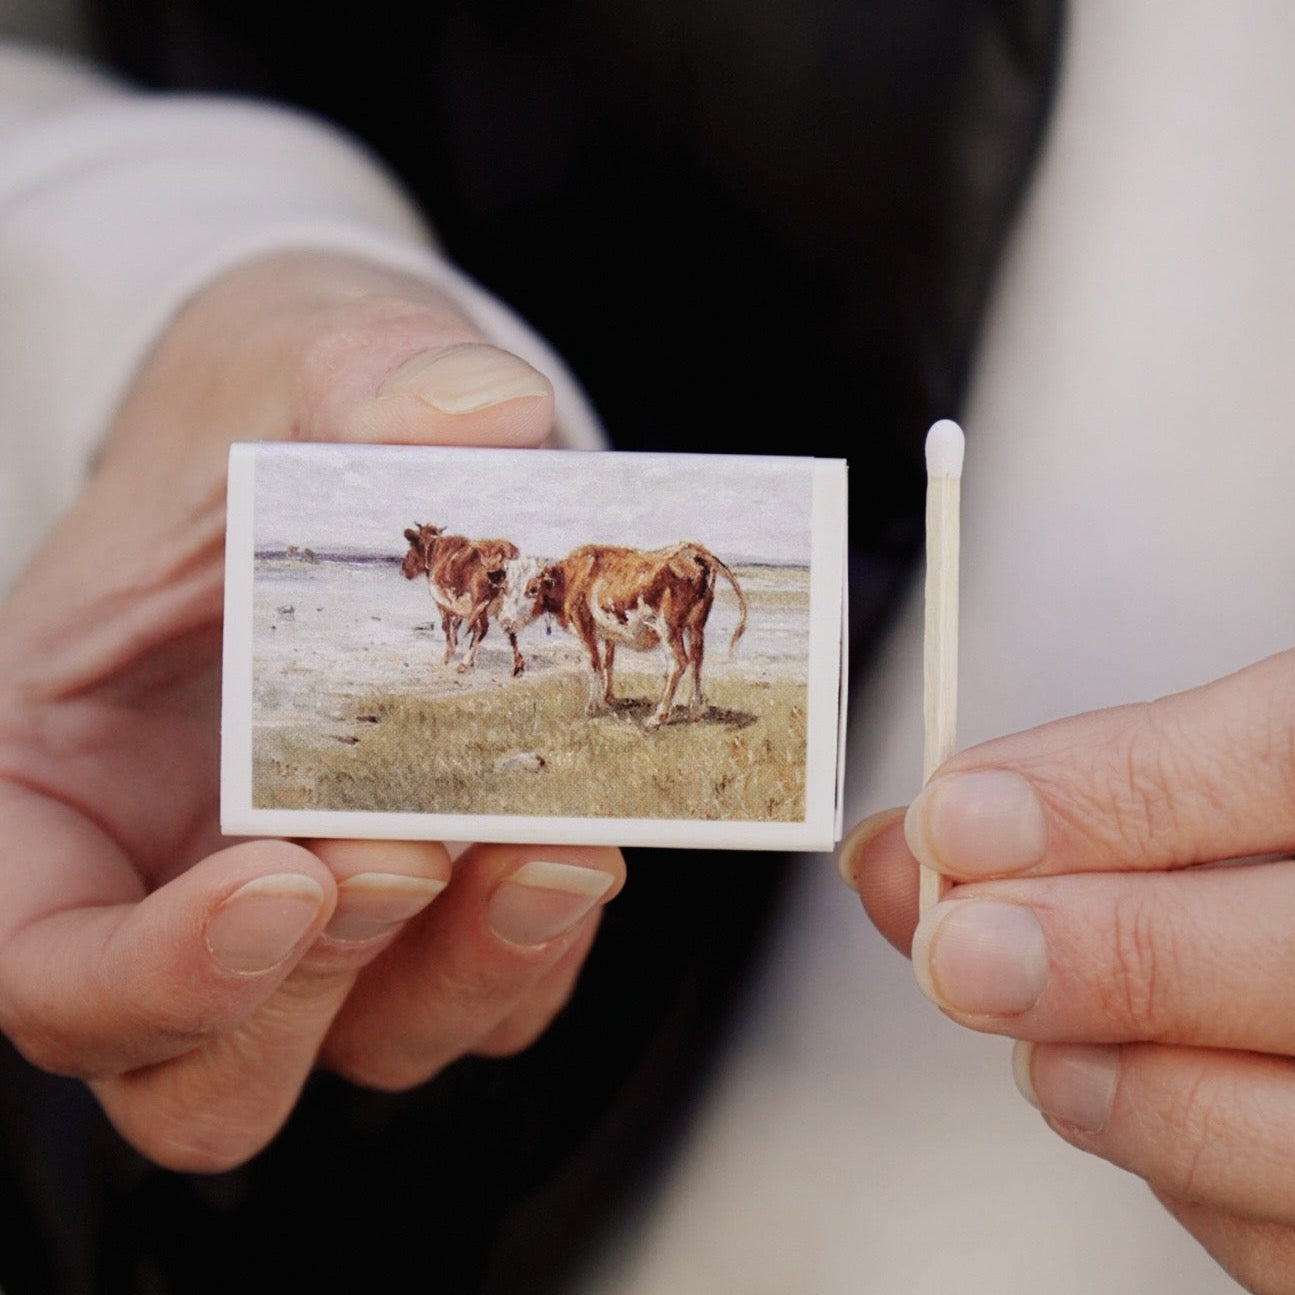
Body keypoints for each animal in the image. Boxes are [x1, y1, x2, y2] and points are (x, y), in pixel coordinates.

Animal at [404, 520, 525, 673]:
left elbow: (447, 627)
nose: (403, 568)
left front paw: (447, 656)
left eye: (412, 545)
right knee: (510, 629)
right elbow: (457, 625)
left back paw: (464, 663)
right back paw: (518, 665)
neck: (436, 552)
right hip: (503, 604)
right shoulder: (460, 607)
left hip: (481, 603)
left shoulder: (443, 603)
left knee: (484, 628)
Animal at [512, 541, 745, 730]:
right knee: (698, 660)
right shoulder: (607, 631)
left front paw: (592, 707)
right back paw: (695, 708)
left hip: (668, 627)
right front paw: (607, 697)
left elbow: (594, 663)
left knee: (679, 662)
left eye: (531, 590)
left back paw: (658, 717)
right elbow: (608, 662)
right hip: (696, 625)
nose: (507, 622)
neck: (572, 576)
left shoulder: (584, 624)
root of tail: (692, 549)